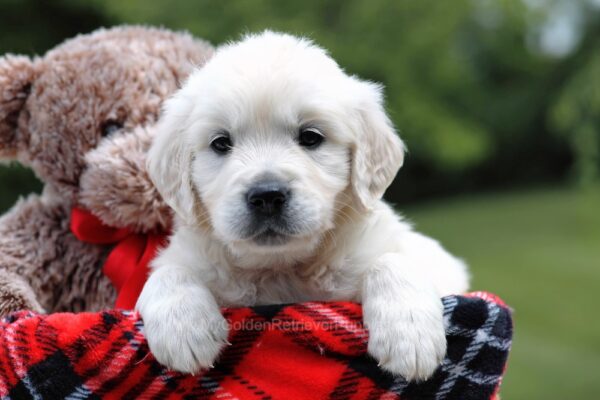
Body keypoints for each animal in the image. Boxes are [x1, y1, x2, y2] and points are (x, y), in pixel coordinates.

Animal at [138, 31, 472, 382]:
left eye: (310, 136)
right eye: (220, 143)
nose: (266, 196)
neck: (281, 269)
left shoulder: (427, 258)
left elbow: (393, 260)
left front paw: (410, 336)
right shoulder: (186, 256)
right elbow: (167, 273)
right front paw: (184, 330)